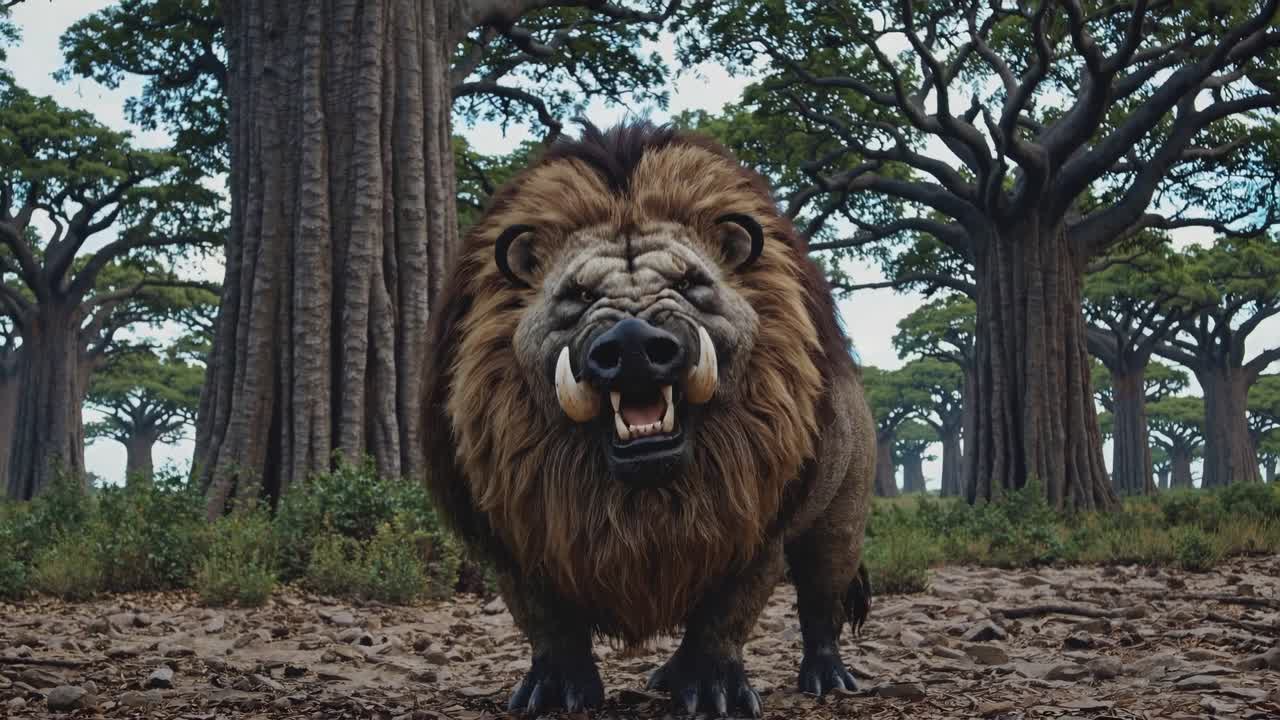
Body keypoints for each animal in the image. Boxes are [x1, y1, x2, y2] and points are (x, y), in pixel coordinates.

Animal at [424, 121, 875, 717]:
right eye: (579, 294)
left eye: (688, 284)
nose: (634, 344)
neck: (639, 497)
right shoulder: (516, 528)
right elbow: (546, 622)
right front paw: (552, 692)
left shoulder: (757, 521)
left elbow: (725, 617)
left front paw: (714, 693)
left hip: (840, 516)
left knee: (822, 600)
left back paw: (828, 679)